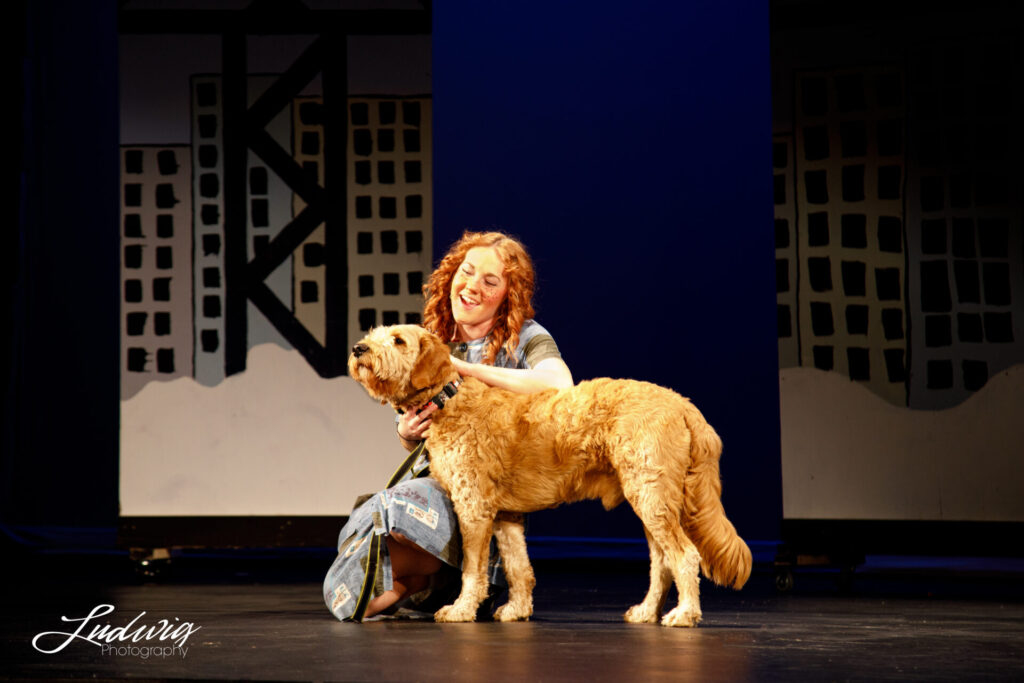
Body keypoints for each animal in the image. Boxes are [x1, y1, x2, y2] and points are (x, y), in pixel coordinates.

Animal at [352, 325, 753, 630]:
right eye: (375, 334)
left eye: (398, 340)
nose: (358, 348)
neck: (448, 401)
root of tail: (682, 402)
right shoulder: (504, 515)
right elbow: (518, 567)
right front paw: (517, 610)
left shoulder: (473, 508)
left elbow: (472, 569)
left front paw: (461, 609)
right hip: (651, 502)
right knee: (662, 563)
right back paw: (646, 612)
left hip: (652, 497)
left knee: (684, 555)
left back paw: (684, 614)